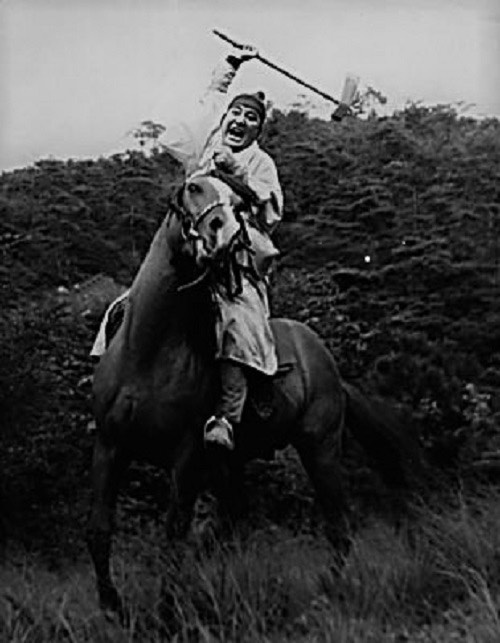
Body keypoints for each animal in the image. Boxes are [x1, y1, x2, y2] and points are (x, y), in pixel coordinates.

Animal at [87, 171, 421, 614]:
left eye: (239, 204)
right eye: (193, 188)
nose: (224, 233)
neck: (147, 351)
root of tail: (330, 368)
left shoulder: (186, 459)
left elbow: (174, 536)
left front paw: (167, 612)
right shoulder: (110, 448)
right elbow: (100, 530)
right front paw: (112, 605)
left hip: (319, 448)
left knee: (338, 525)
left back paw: (328, 591)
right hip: (234, 465)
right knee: (235, 524)